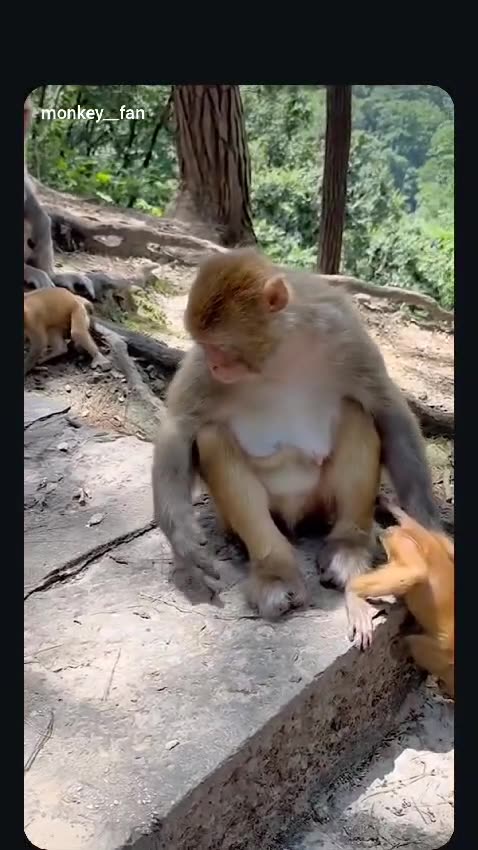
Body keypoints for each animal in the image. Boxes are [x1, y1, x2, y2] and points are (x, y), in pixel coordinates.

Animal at [152, 248, 439, 638]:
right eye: (204, 346)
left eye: (219, 347)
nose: (214, 365)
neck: (279, 354)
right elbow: (179, 427)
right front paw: (183, 541)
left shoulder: (342, 330)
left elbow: (386, 407)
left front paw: (427, 523)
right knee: (211, 437)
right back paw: (275, 572)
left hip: (320, 505)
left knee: (357, 413)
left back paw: (347, 551)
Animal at [348, 499, 454, 697]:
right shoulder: (443, 658)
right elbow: (414, 643)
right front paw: (399, 646)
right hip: (407, 543)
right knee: (415, 570)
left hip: (429, 542)